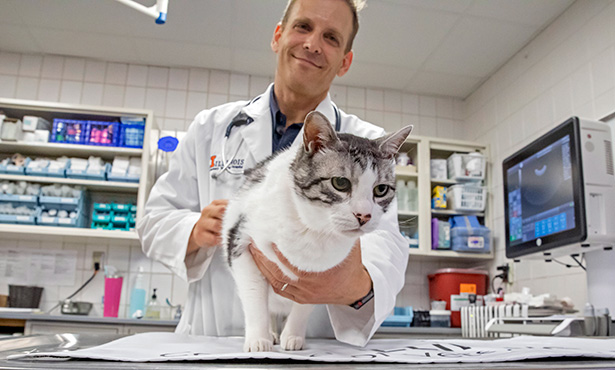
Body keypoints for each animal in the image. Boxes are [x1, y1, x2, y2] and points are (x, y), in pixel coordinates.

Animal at [223, 110, 414, 352]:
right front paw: (258, 339)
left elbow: (303, 308)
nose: (364, 215)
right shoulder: (242, 245)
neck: (314, 230)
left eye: (380, 190)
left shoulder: (318, 280)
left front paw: (293, 336)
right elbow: (255, 299)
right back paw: (271, 332)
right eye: (340, 183)